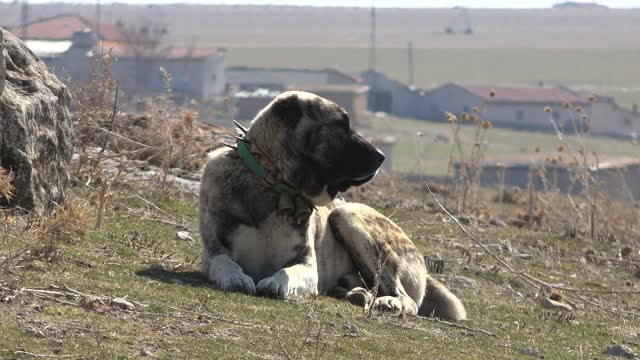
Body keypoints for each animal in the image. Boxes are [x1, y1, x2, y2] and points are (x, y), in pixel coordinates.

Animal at [199, 91, 464, 320]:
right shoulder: (214, 252)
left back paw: (388, 301)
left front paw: (274, 283)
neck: (273, 184)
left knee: (406, 298)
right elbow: (225, 263)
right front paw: (236, 278)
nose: (382, 156)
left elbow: (287, 272)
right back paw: (354, 293)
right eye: (341, 125)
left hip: (346, 214)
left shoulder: (307, 265)